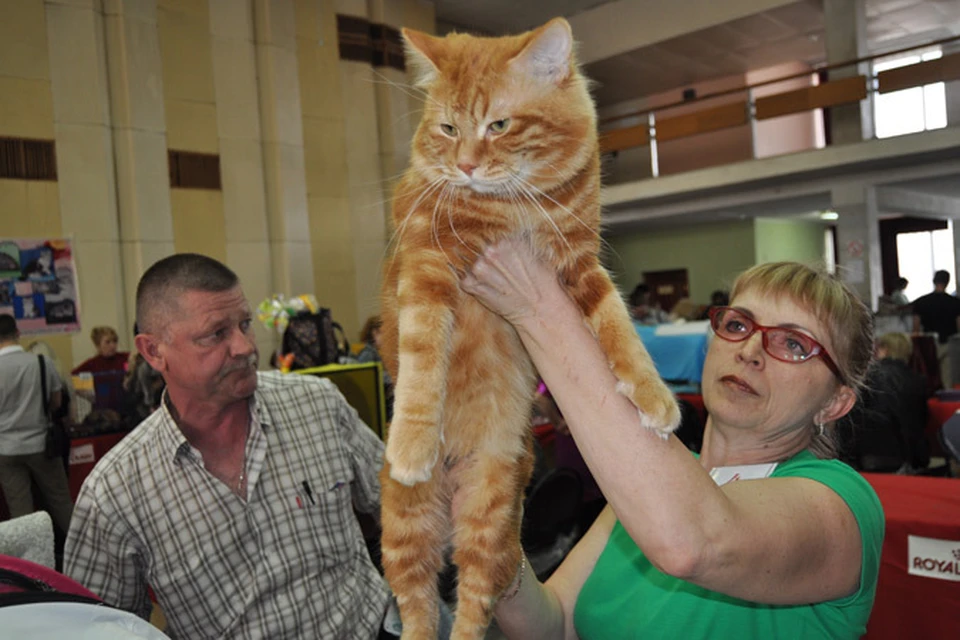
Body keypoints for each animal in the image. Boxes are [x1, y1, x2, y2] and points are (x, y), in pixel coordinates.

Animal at [378, 17, 680, 636]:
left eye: (499, 125)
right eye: (448, 128)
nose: (466, 165)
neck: (511, 205)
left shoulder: (579, 263)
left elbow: (618, 327)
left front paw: (653, 395)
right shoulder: (426, 265)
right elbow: (422, 357)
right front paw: (413, 440)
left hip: (491, 515)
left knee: (473, 602)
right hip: (404, 525)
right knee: (418, 605)